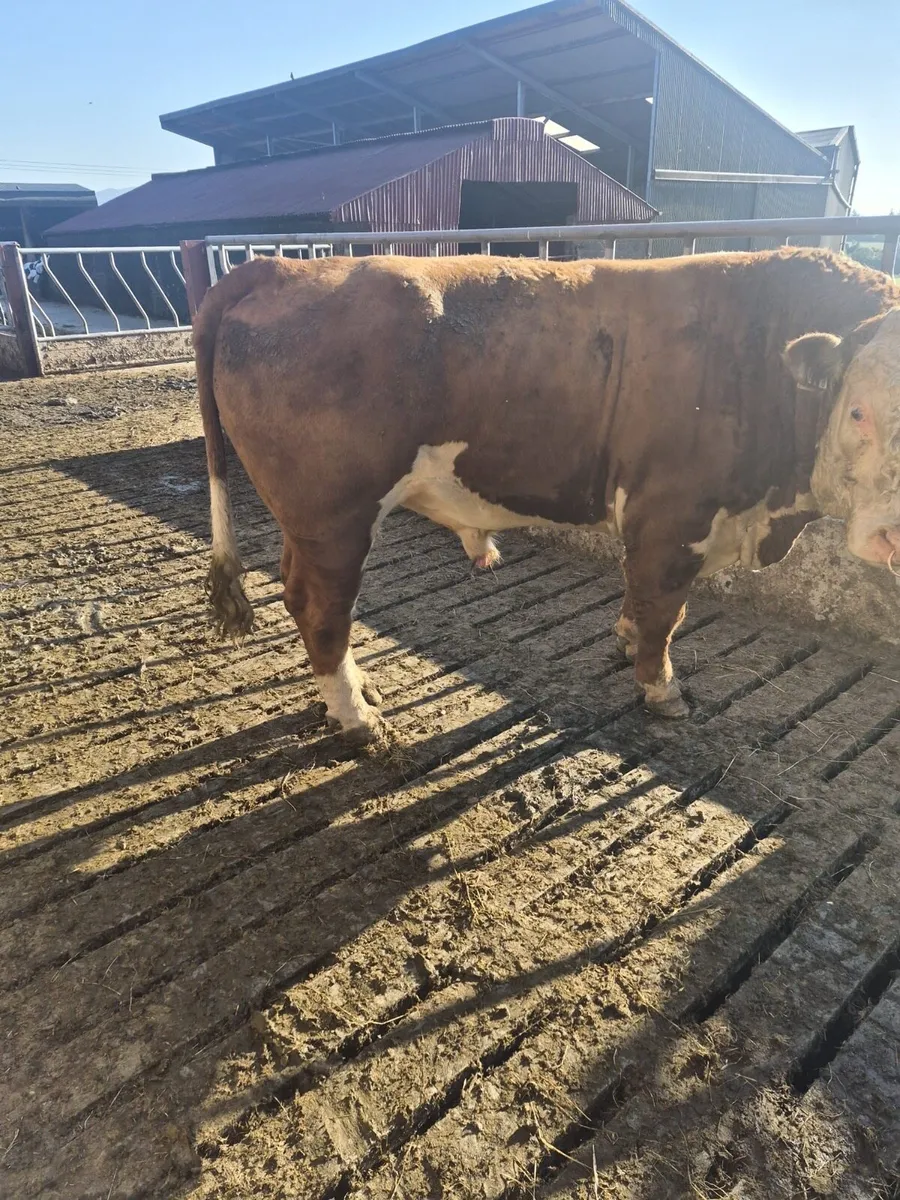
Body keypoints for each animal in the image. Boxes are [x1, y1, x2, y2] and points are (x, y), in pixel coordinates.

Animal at [193, 248, 900, 743]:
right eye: (858, 411)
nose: (892, 535)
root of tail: (279, 266)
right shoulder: (673, 516)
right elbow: (665, 612)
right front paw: (661, 689)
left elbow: (641, 601)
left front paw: (626, 641)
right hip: (335, 516)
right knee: (321, 608)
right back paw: (357, 719)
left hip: (309, 522)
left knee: (298, 592)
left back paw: (359, 690)